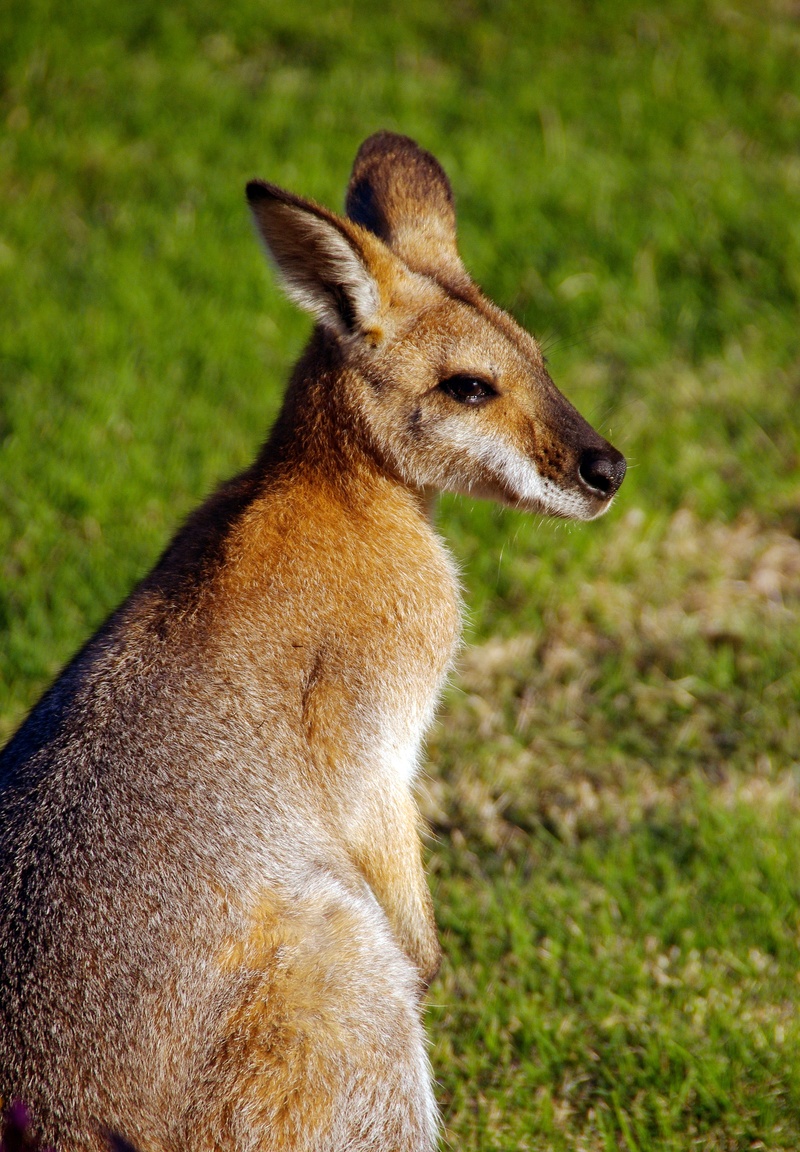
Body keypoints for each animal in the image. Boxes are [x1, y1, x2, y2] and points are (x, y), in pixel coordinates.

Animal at [0, 132, 625, 1152]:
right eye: (469, 388)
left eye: (537, 355)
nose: (608, 470)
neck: (347, 485)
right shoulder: (367, 720)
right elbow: (377, 809)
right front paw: (433, 962)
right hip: (335, 983)